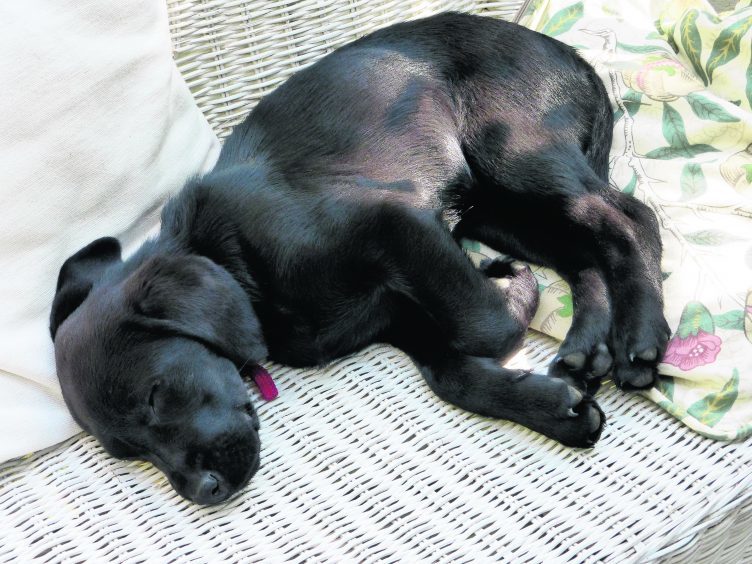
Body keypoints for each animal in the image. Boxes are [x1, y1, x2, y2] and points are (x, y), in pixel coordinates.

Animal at [50, 13, 668, 506]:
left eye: (156, 395)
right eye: (132, 453)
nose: (205, 493)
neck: (236, 262)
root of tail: (571, 55)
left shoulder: (395, 222)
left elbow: (485, 328)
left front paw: (509, 289)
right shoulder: (399, 316)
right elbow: (455, 375)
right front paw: (552, 409)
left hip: (514, 154)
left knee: (629, 219)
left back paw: (639, 335)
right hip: (497, 209)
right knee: (584, 250)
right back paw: (587, 345)